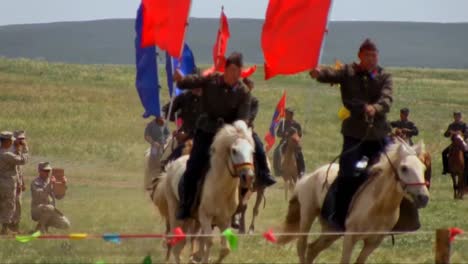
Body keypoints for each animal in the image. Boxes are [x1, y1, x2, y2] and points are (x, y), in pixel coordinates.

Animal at [160, 120, 256, 262]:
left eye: (252, 151)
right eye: (234, 151)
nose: (248, 176)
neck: (221, 190)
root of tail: (172, 165)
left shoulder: (224, 220)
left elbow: (224, 249)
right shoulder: (205, 217)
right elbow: (208, 241)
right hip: (175, 212)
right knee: (177, 244)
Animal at [276, 139, 430, 262]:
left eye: (423, 168)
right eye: (404, 168)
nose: (423, 198)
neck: (379, 207)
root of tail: (311, 175)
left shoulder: (372, 243)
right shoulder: (350, 238)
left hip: (332, 231)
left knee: (313, 249)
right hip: (308, 215)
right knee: (302, 246)